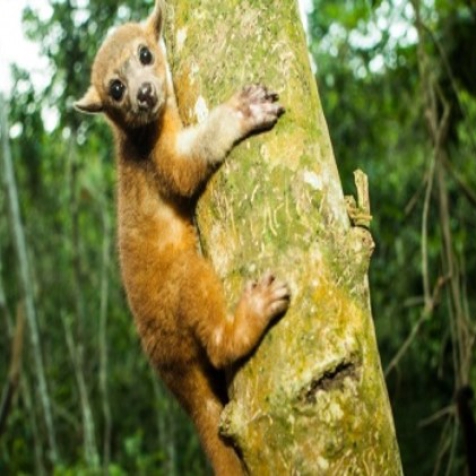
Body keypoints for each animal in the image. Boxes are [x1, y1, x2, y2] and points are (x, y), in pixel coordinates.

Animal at [75, 1, 290, 474]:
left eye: (145, 55)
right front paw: (243, 111)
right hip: (185, 284)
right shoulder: (160, 154)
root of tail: (167, 370)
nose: (143, 94)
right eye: (115, 88)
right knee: (219, 346)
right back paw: (250, 316)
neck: (135, 132)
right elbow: (187, 166)